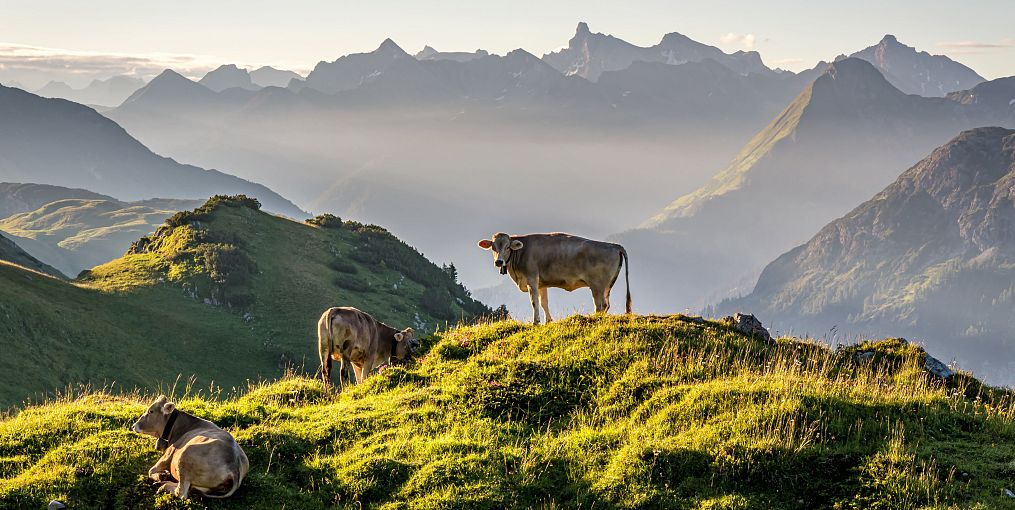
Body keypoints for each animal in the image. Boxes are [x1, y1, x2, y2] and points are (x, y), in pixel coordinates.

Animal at [478, 232, 631, 324]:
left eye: (508, 247)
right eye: (493, 247)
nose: (499, 262)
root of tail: (614, 245)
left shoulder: (532, 279)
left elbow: (534, 302)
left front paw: (536, 322)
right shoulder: (541, 283)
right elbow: (544, 302)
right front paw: (548, 321)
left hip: (597, 285)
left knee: (600, 305)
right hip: (607, 286)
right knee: (606, 304)